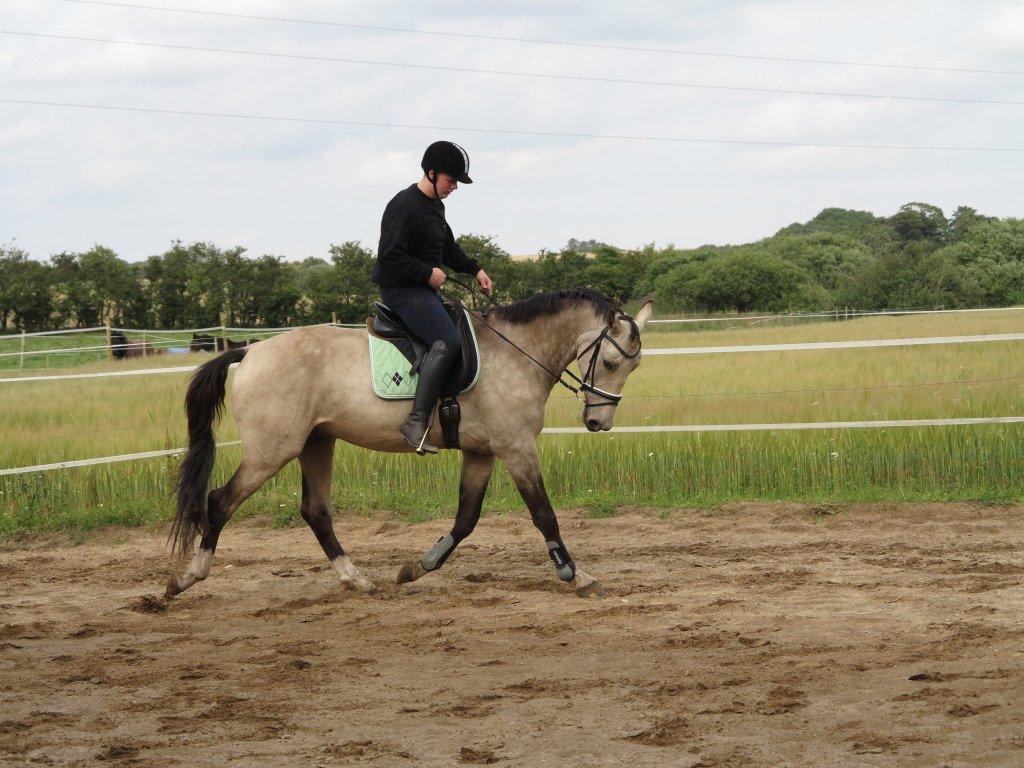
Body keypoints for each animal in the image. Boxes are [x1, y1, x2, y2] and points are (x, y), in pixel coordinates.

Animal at [163, 288, 651, 602]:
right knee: (220, 501)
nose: (597, 422)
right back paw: (185, 580)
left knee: (316, 512)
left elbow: (466, 518)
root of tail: (249, 352)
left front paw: (417, 568)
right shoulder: (515, 449)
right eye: (610, 362)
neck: (515, 355)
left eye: (633, 368)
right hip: (272, 451)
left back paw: (356, 580)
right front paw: (576, 575)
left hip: (316, 443)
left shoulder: (482, 452)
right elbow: (543, 513)